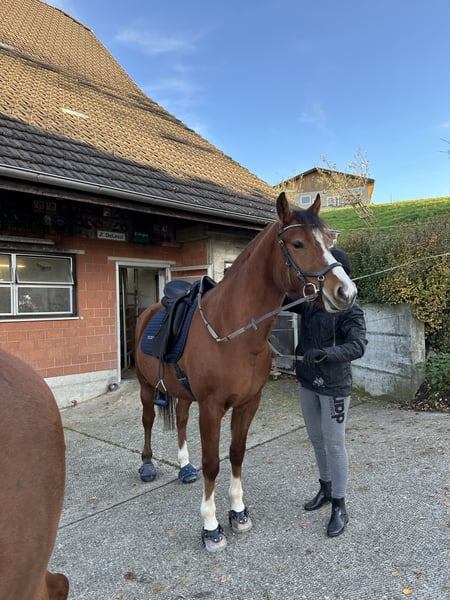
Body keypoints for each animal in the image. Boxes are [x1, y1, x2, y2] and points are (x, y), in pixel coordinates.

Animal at [135, 192, 357, 552]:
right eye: (297, 244)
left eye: (328, 240)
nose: (346, 293)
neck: (233, 331)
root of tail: (149, 310)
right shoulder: (211, 408)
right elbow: (213, 463)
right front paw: (210, 526)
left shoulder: (248, 403)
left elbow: (236, 454)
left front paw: (238, 512)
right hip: (144, 386)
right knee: (148, 421)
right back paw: (147, 465)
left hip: (182, 392)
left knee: (180, 419)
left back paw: (184, 467)